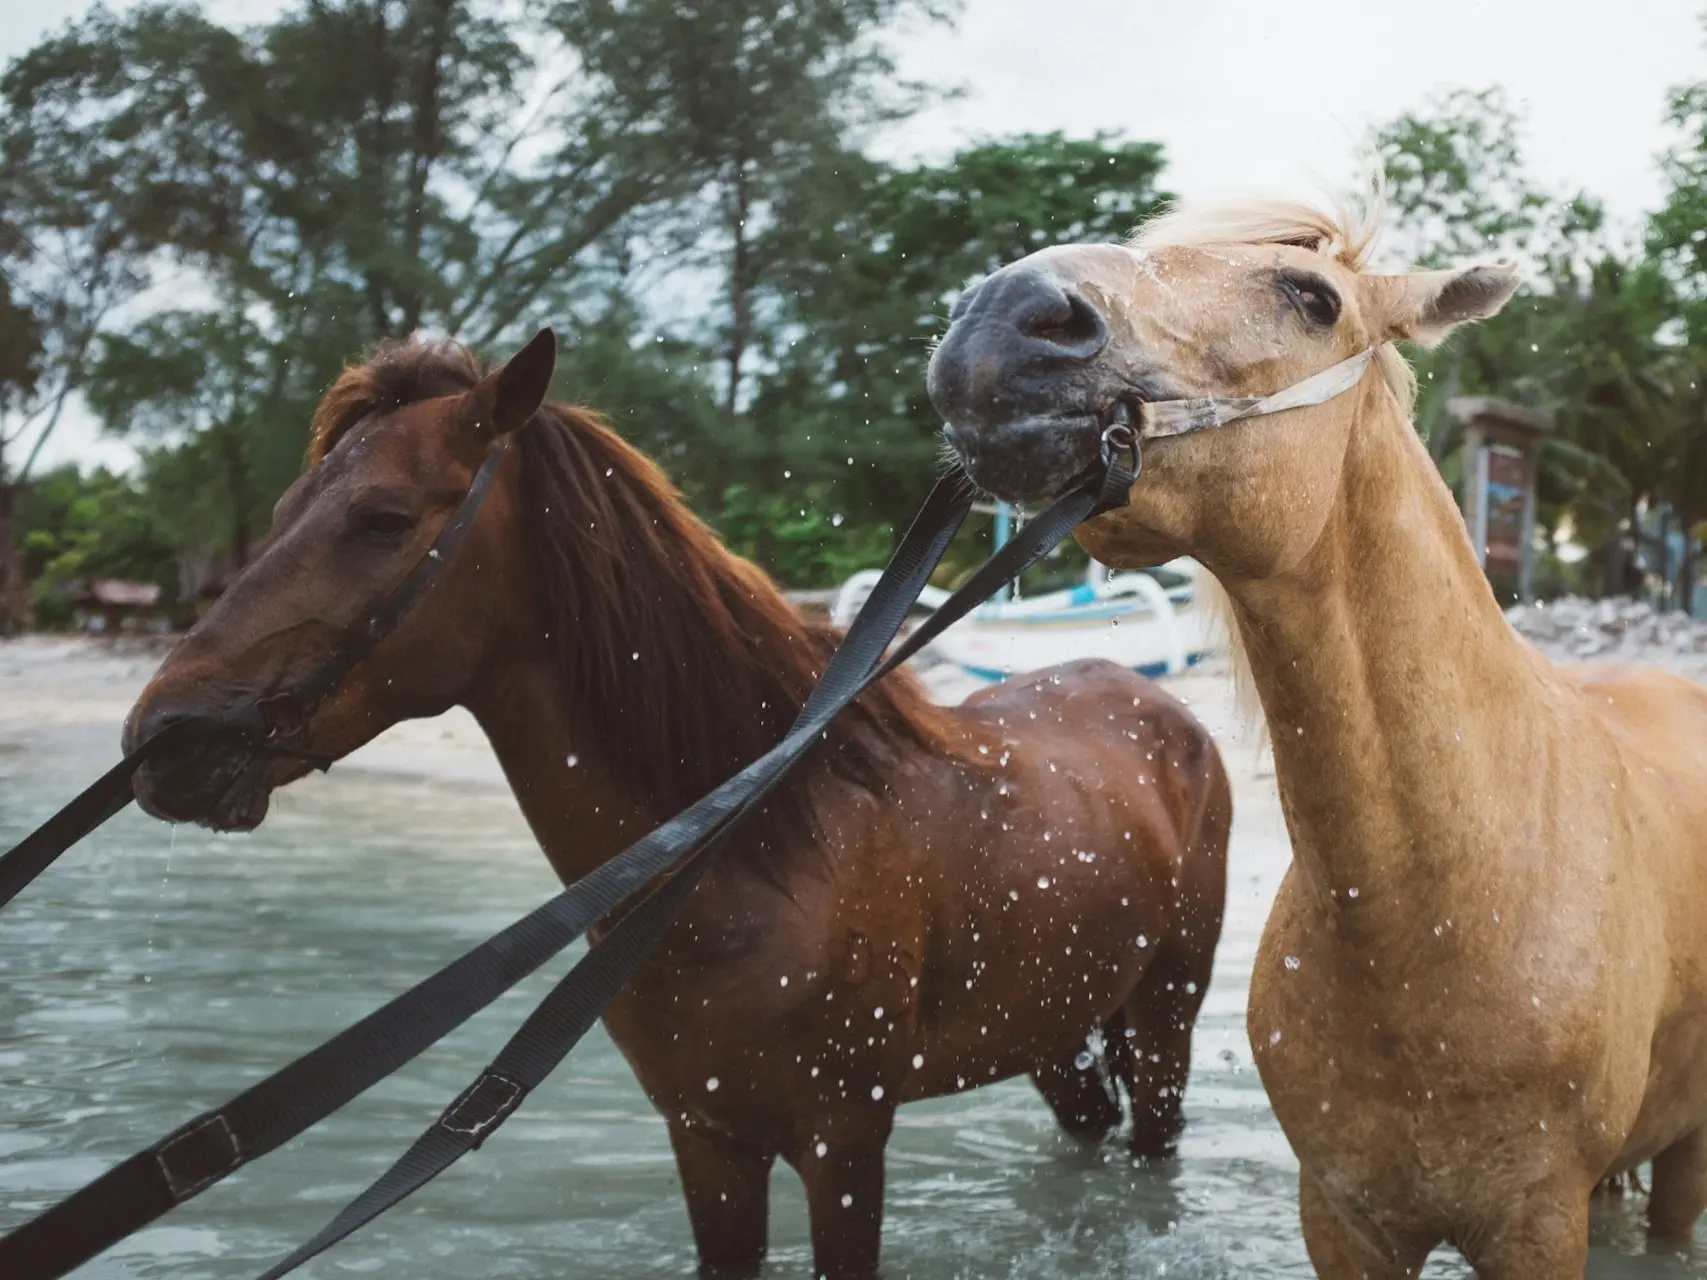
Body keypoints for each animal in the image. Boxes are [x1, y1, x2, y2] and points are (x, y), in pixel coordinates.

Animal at [126, 332, 1235, 1280]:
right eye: (280, 515)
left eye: (383, 519)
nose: (160, 739)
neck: (753, 860)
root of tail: (1159, 707)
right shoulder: (706, 1138)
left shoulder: (844, 1143)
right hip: (1056, 1031)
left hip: (1164, 1018)